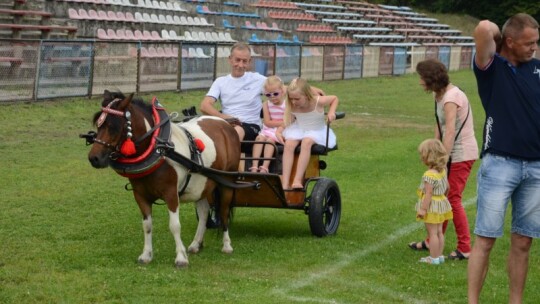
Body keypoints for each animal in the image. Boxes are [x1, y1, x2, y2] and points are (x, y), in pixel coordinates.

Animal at [84, 89, 240, 266]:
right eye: (99, 125)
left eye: (113, 127)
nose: (94, 158)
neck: (159, 148)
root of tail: (225, 123)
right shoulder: (140, 195)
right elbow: (147, 225)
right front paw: (146, 255)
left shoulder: (171, 194)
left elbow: (174, 225)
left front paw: (180, 258)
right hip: (202, 183)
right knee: (204, 212)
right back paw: (195, 244)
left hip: (226, 182)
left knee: (223, 211)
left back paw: (226, 245)